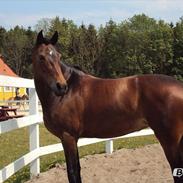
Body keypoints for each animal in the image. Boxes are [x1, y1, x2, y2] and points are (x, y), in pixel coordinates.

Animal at [32, 30, 183, 182]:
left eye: (58, 56)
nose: (61, 86)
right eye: (41, 57)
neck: (69, 91)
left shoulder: (68, 137)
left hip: (170, 141)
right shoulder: (71, 138)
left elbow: (73, 172)